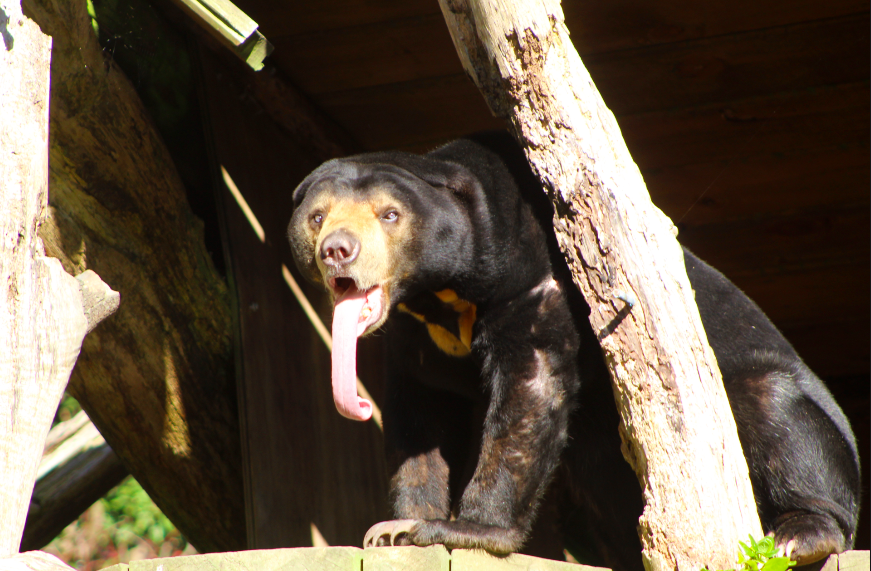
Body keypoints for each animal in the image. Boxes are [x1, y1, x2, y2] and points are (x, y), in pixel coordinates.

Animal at [288, 131, 860, 570]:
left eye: (389, 215)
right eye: (317, 217)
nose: (338, 250)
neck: (442, 298)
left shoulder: (537, 280)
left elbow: (530, 387)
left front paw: (463, 528)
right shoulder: (416, 334)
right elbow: (419, 413)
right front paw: (395, 527)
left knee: (775, 411)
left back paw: (800, 532)